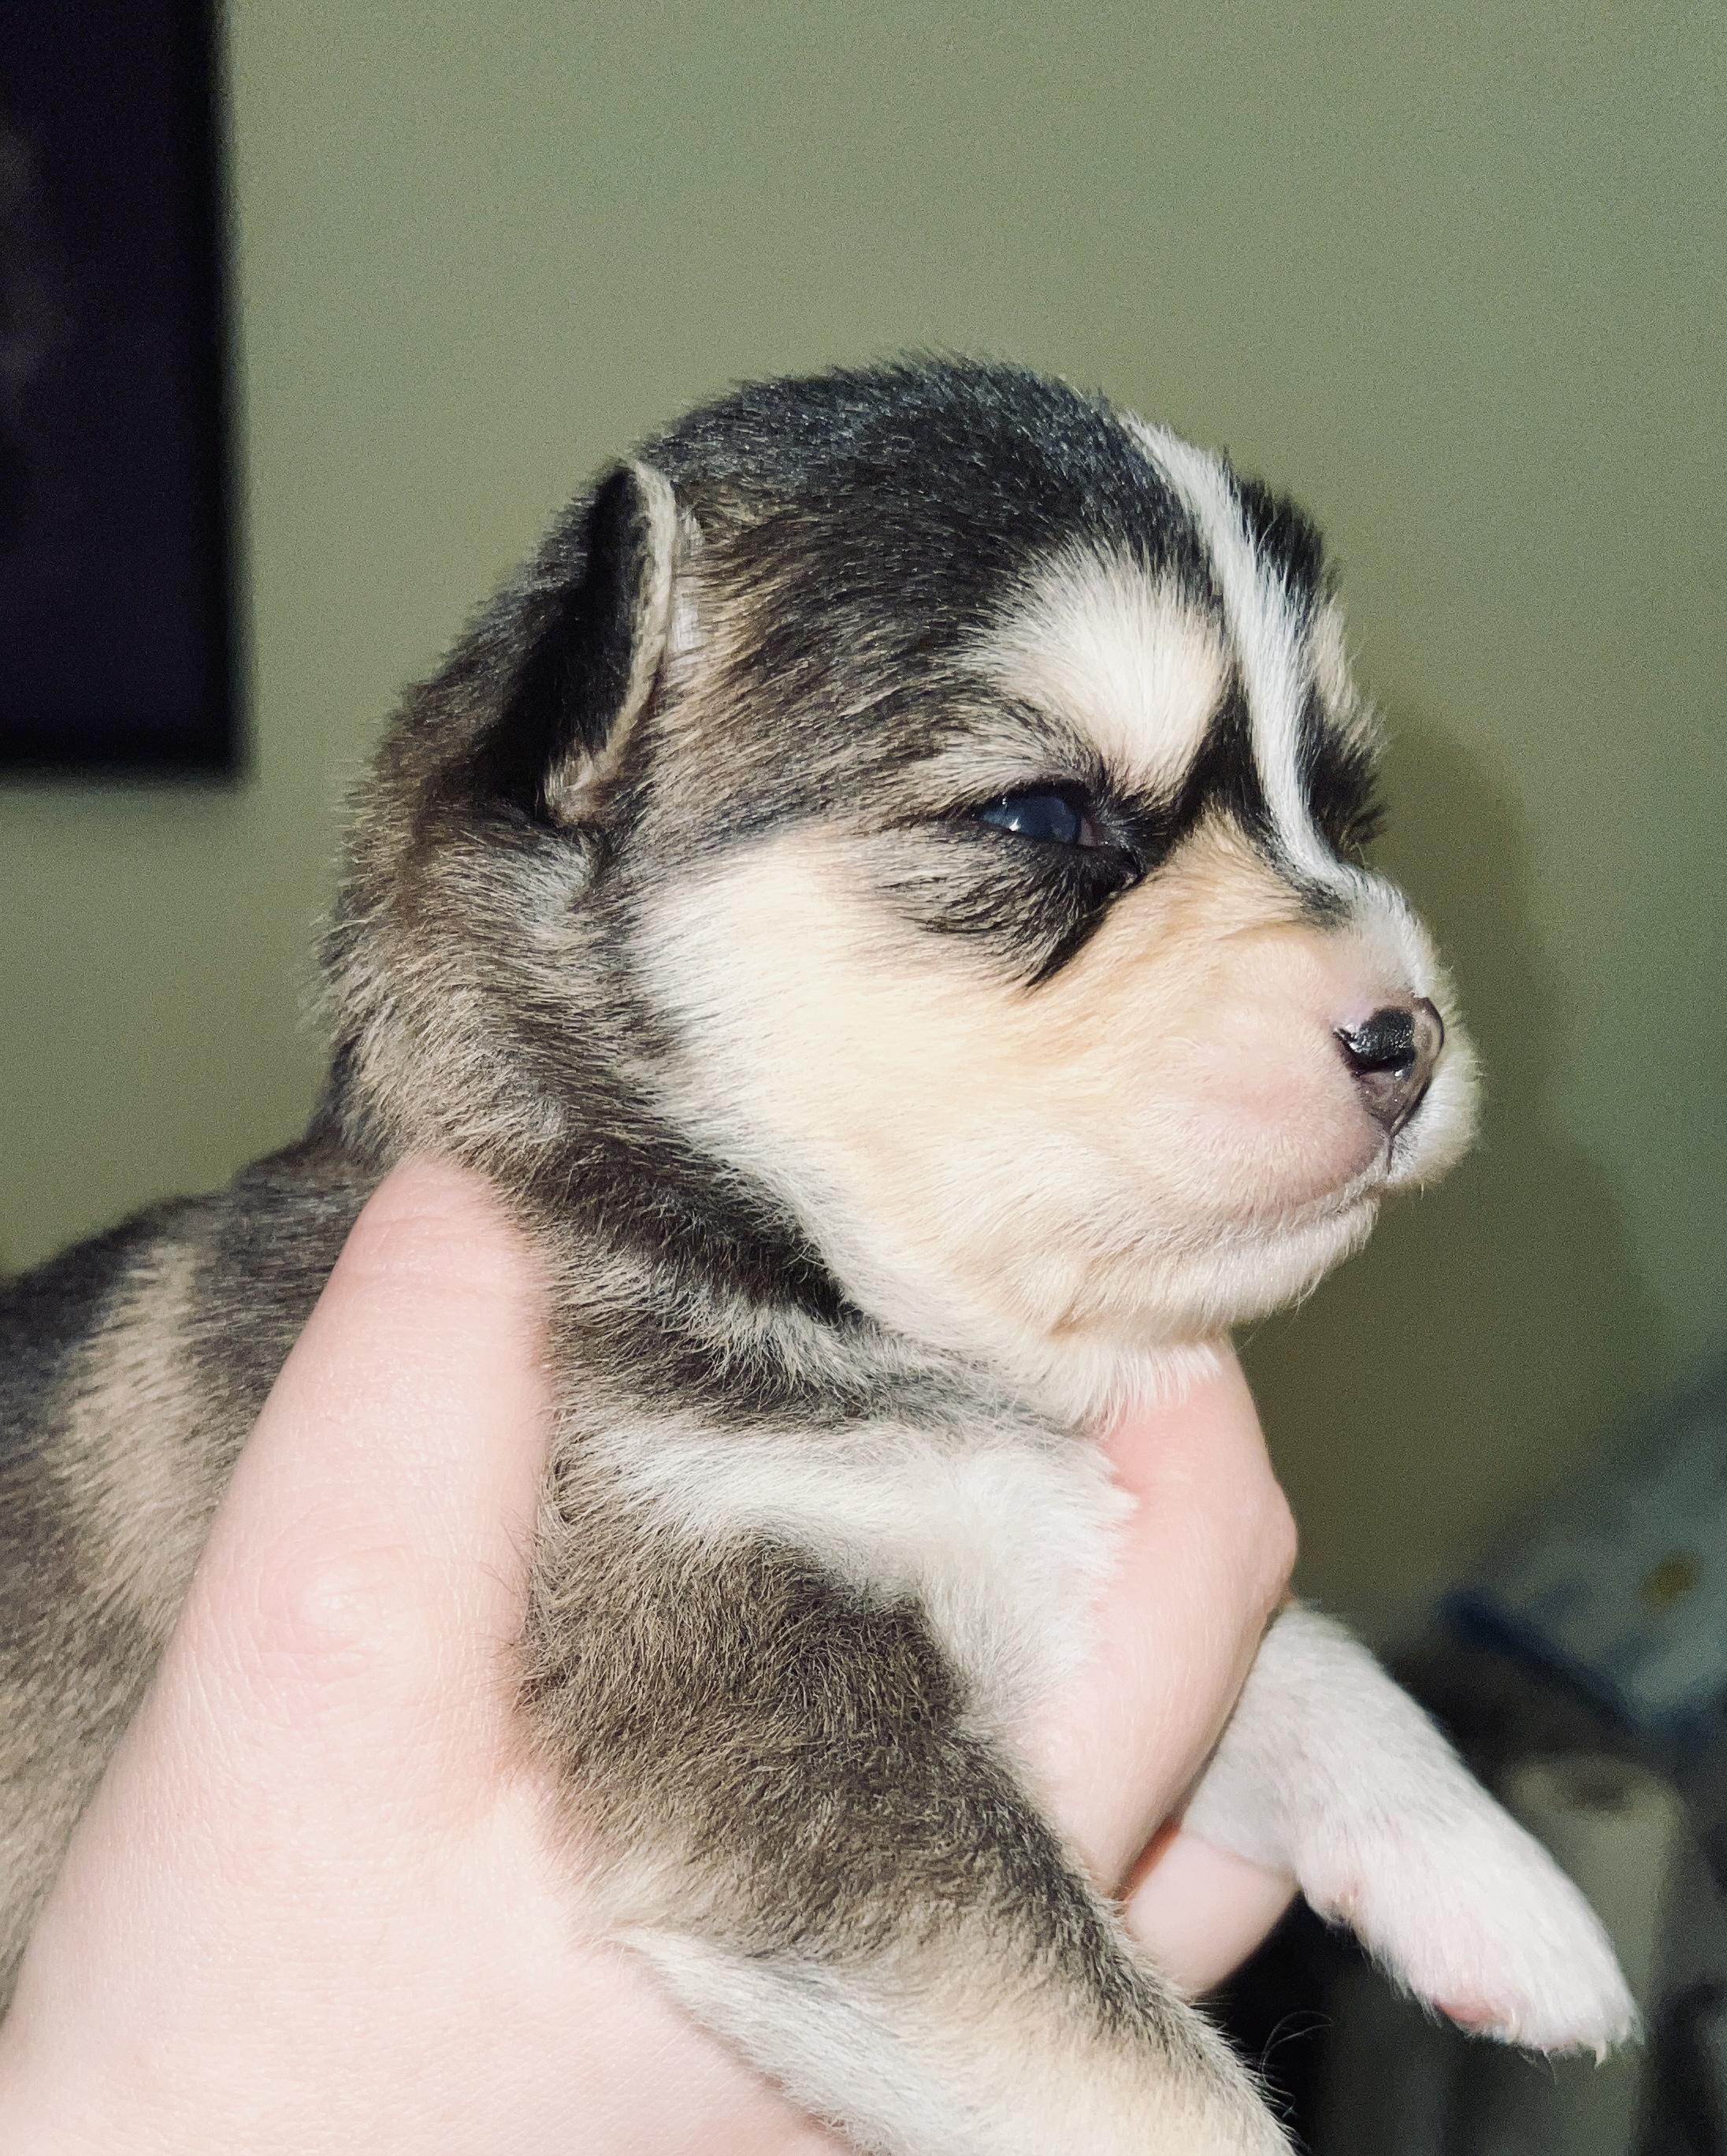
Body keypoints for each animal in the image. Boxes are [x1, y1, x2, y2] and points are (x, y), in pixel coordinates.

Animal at [0, 358, 1632, 2151]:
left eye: (1341, 814)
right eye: (1044, 813)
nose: (1407, 1035)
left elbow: (1311, 1658)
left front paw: (1487, 1875)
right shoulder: (770, 1714)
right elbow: (1134, 2075)